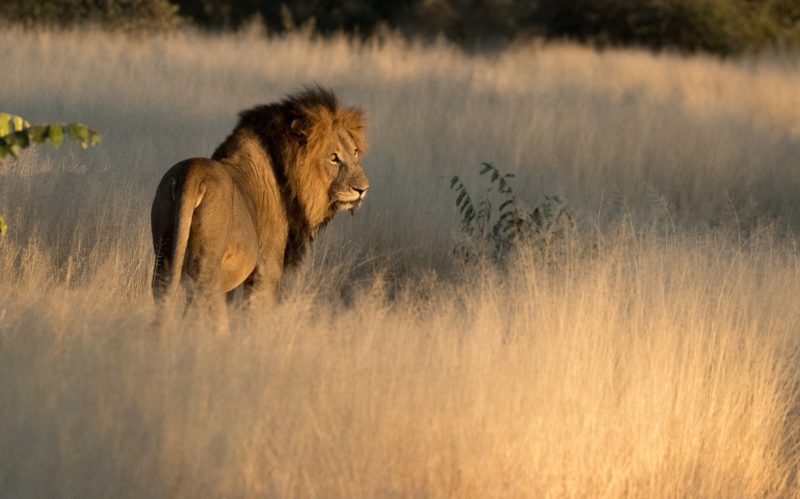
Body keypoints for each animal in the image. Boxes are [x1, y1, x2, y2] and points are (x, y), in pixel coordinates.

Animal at [150, 87, 369, 315]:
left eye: (354, 152)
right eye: (333, 158)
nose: (363, 189)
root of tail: (191, 173)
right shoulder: (266, 267)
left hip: (164, 255)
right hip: (206, 264)